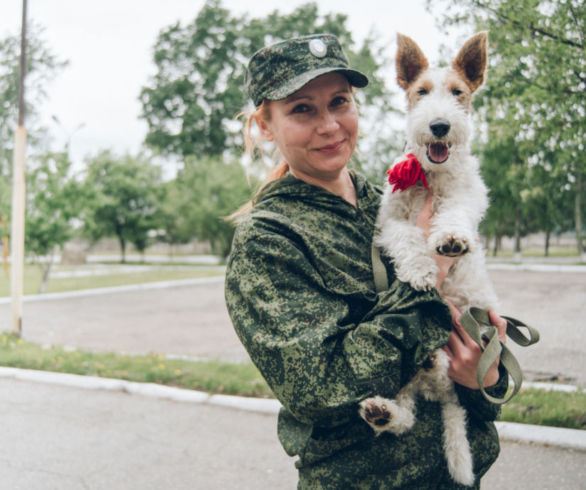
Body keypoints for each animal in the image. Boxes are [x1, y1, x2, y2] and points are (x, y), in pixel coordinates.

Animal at [358, 31, 496, 486]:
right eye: (420, 92)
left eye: (458, 93)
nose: (439, 125)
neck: (430, 177)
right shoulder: (390, 221)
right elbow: (407, 240)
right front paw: (420, 271)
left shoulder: (467, 197)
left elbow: (454, 215)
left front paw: (449, 240)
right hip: (408, 379)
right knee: (406, 412)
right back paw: (384, 410)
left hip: (473, 330)